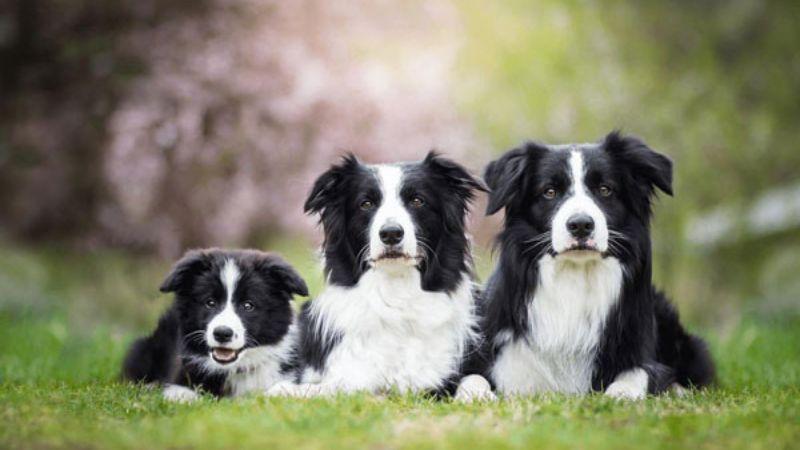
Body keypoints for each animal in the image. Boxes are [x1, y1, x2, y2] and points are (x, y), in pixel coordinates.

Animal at [123, 250, 308, 400]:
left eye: (248, 305)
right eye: (210, 302)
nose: (222, 333)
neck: (235, 368)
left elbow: (281, 387)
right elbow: (180, 392)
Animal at [268, 153, 494, 400]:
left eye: (417, 201)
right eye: (366, 204)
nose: (391, 233)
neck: (397, 293)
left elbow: (475, 378)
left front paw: (476, 395)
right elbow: (332, 386)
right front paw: (289, 389)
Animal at [478, 132, 716, 400]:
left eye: (605, 190)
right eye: (549, 192)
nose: (581, 224)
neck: (575, 278)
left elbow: (639, 372)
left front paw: (620, 394)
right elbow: (476, 378)